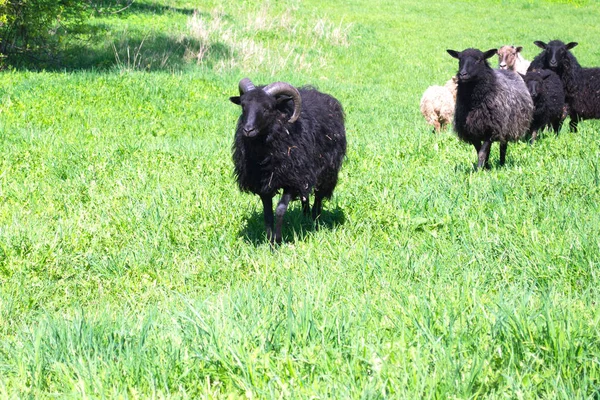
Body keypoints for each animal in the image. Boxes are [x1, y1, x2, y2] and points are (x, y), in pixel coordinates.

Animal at [229, 76, 346, 242]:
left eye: (267, 108)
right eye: (244, 106)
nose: (248, 130)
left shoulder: (292, 179)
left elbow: (280, 209)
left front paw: (277, 241)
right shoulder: (264, 184)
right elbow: (268, 214)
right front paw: (269, 241)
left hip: (326, 171)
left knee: (318, 196)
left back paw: (315, 220)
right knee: (305, 196)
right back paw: (305, 216)